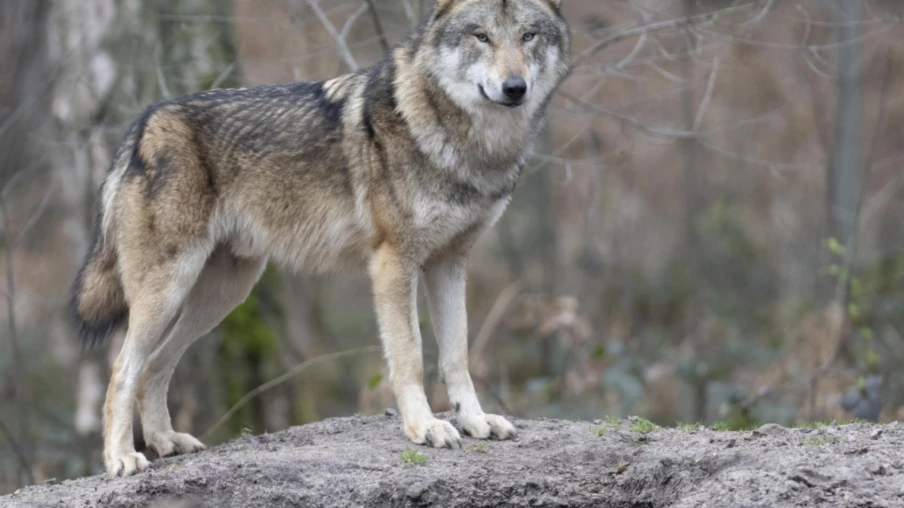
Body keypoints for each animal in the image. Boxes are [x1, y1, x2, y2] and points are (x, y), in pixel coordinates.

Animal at [70, 0, 571, 477]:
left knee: (155, 366)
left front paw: (475, 421)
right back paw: (122, 459)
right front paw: (425, 427)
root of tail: (142, 125)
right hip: (170, 290)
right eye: (481, 36)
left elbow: (456, 355)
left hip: (221, 296)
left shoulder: (450, 263)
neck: (466, 144)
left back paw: (165, 441)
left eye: (528, 36)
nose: (514, 87)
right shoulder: (394, 262)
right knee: (123, 370)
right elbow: (410, 355)